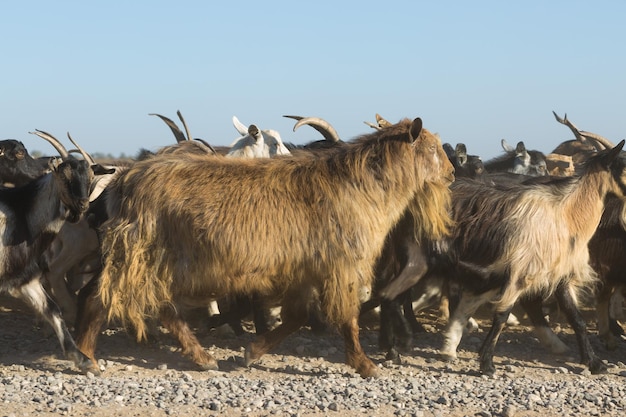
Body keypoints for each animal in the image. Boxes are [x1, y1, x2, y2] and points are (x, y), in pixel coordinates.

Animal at [75, 115, 454, 376]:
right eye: (431, 148)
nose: (451, 173)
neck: (358, 184)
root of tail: (127, 180)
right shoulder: (340, 265)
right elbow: (347, 319)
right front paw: (365, 365)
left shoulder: (304, 269)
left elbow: (297, 317)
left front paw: (252, 352)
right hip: (148, 253)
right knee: (104, 297)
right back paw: (88, 358)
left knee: (157, 304)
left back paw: (202, 357)